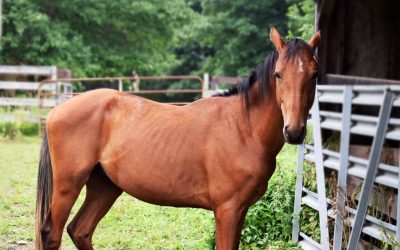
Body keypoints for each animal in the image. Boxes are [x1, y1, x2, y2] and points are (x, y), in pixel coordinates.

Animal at [36, 27, 320, 250]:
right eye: (278, 74)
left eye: (314, 75)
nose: (294, 131)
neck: (244, 128)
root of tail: (57, 111)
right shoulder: (227, 210)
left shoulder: (240, 210)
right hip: (68, 185)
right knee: (53, 234)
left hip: (105, 186)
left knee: (80, 230)